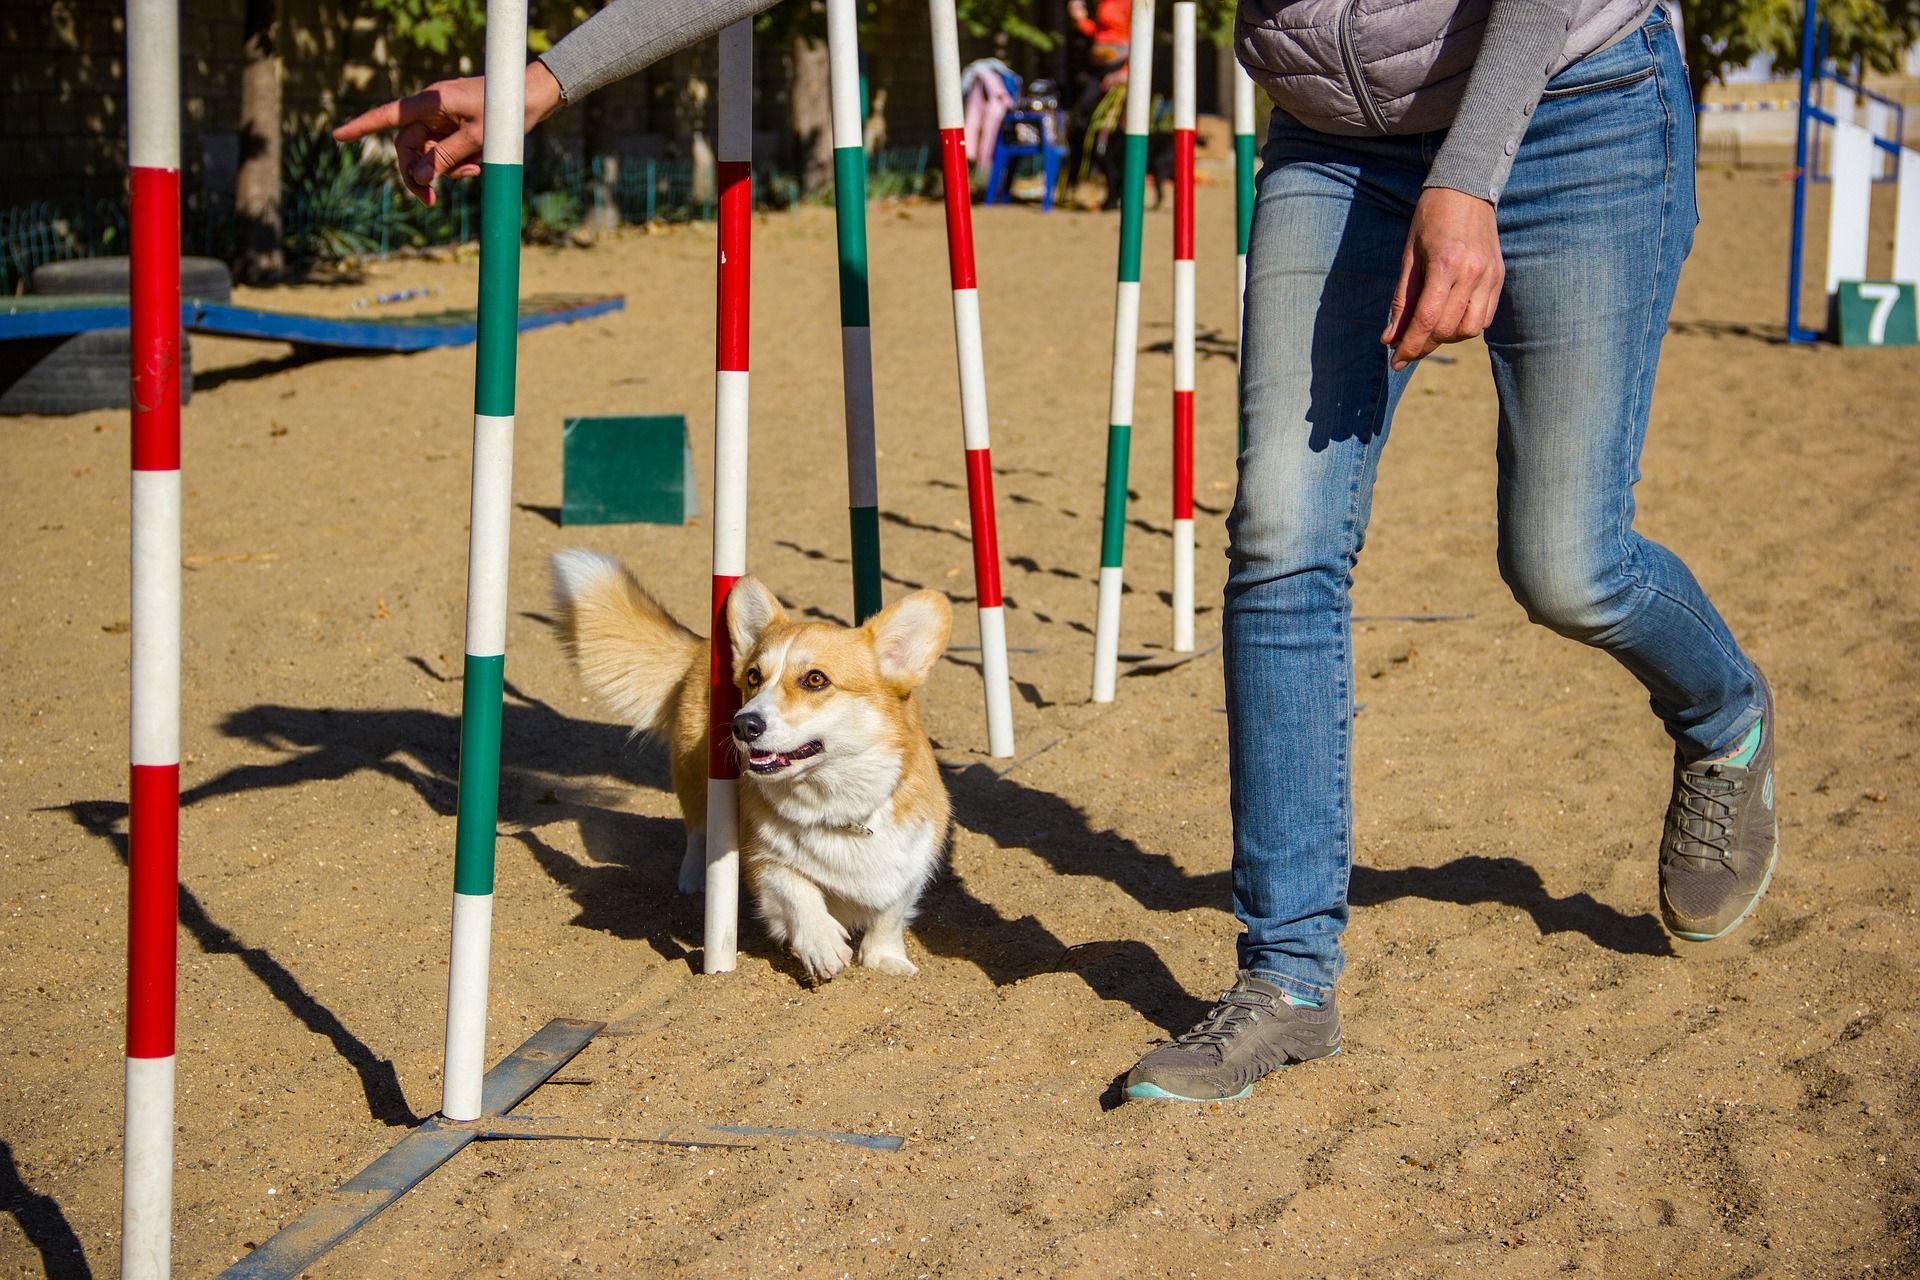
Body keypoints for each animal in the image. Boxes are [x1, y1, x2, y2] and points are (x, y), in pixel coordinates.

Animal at [549, 552, 952, 982]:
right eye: (755, 677)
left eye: (815, 679)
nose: (742, 725)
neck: (836, 803)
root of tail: (702, 645)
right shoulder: (764, 859)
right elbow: (797, 889)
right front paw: (822, 942)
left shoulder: (913, 862)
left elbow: (891, 913)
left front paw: (885, 959)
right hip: (696, 777)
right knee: (698, 830)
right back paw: (695, 878)